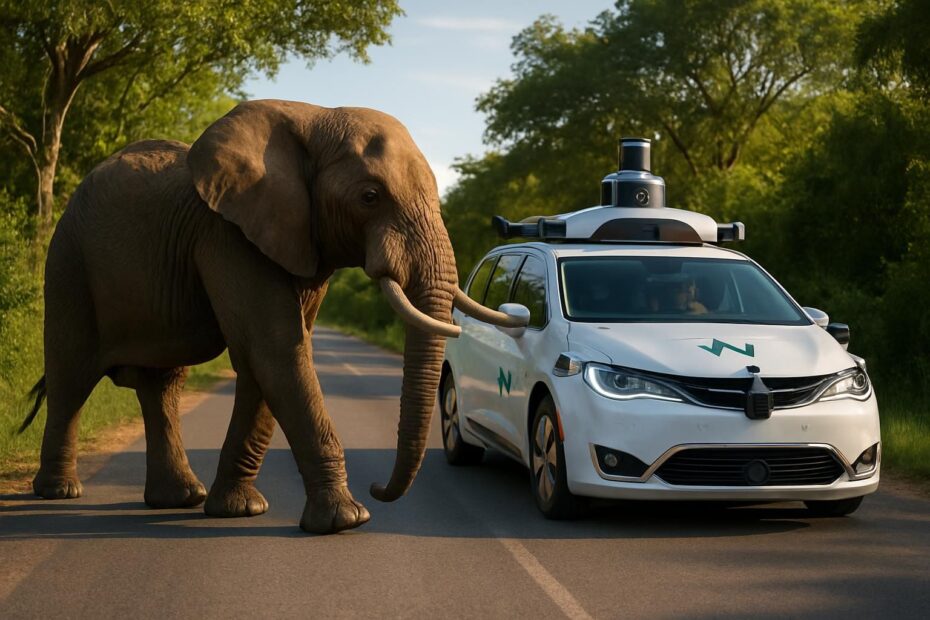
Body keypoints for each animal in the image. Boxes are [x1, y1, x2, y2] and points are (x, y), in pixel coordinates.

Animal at [19, 99, 523, 534]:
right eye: (370, 196)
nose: (379, 487)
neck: (315, 117)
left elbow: (266, 360)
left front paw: (239, 511)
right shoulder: (227, 234)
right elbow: (276, 349)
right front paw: (346, 521)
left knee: (161, 385)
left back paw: (179, 499)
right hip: (69, 262)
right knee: (71, 376)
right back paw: (60, 493)